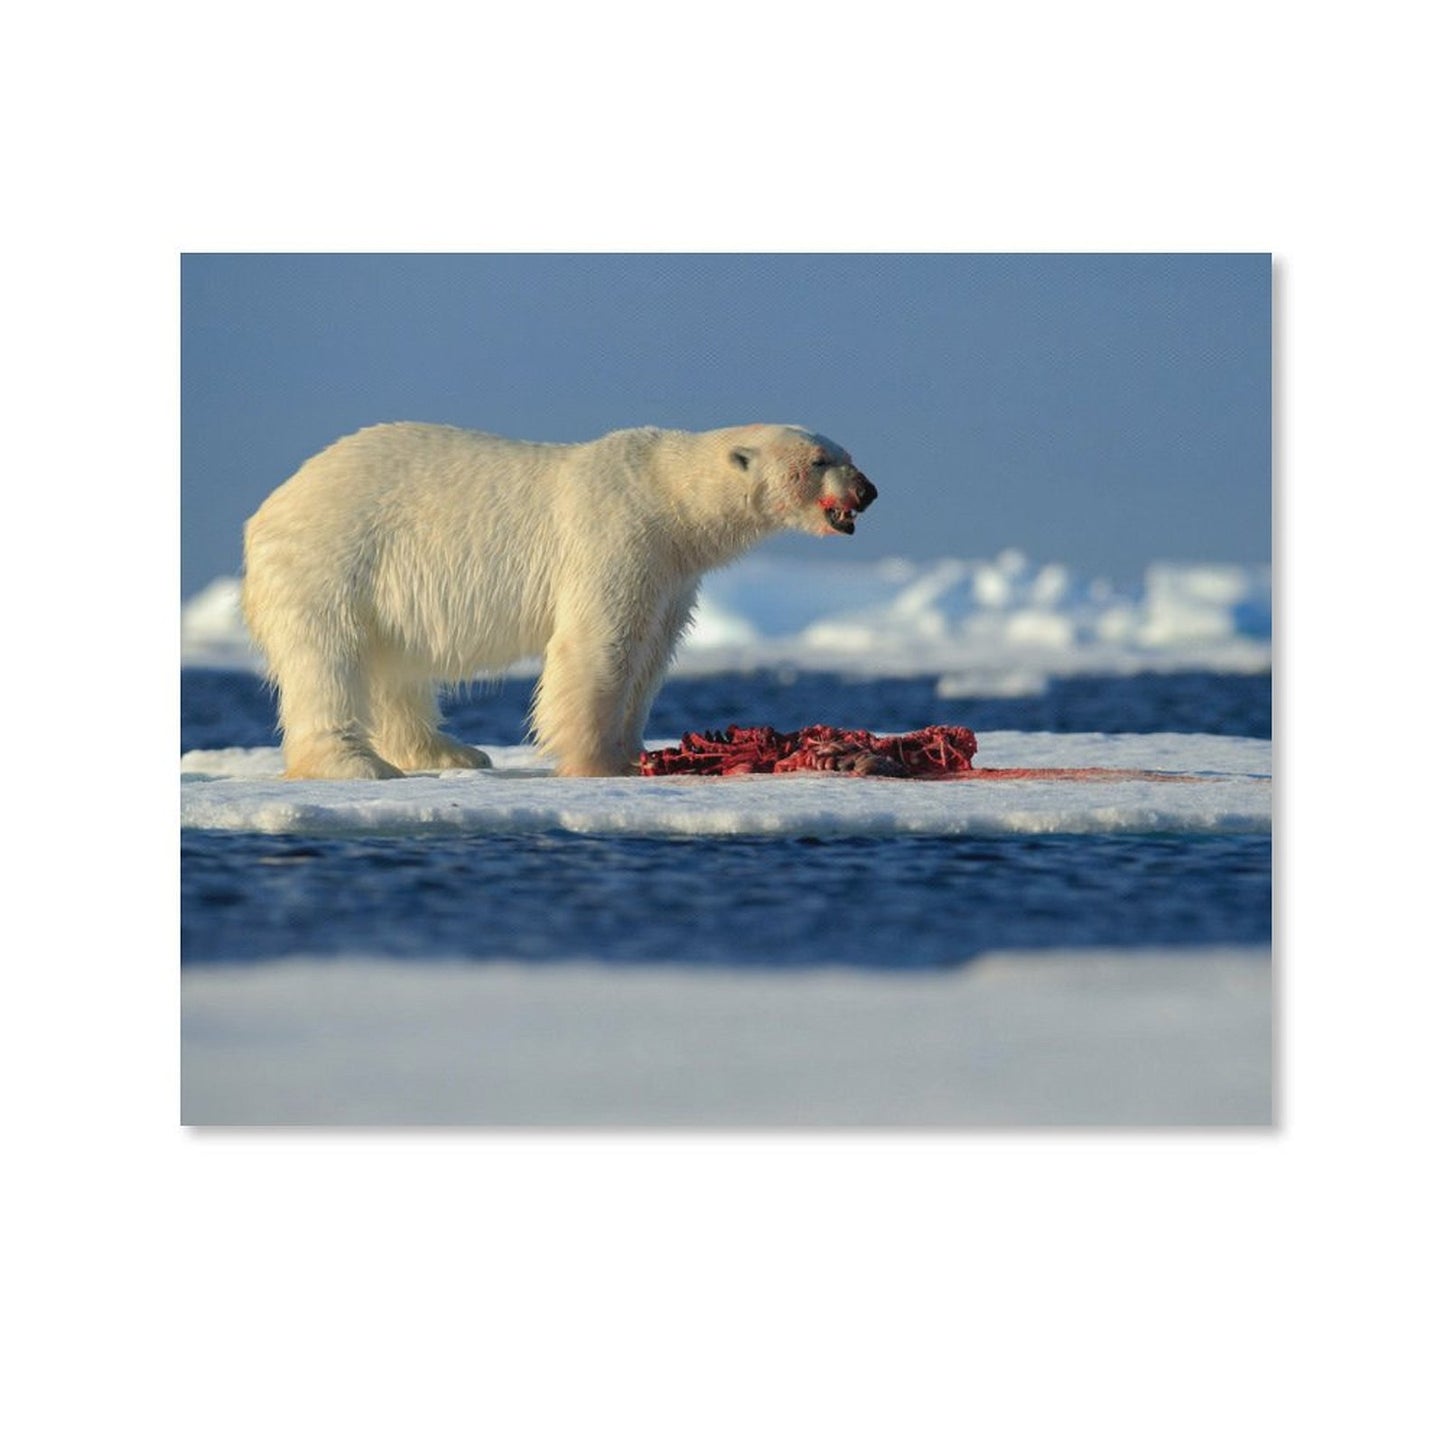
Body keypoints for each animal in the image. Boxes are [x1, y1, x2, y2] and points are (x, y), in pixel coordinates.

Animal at [241, 422, 878, 779]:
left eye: (846, 452)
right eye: (819, 461)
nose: (868, 490)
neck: (668, 496)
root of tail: (269, 507)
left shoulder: (670, 575)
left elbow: (650, 655)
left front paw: (635, 752)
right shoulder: (617, 535)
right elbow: (599, 646)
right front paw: (597, 763)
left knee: (395, 669)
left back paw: (452, 753)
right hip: (332, 560)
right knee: (328, 660)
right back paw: (356, 765)